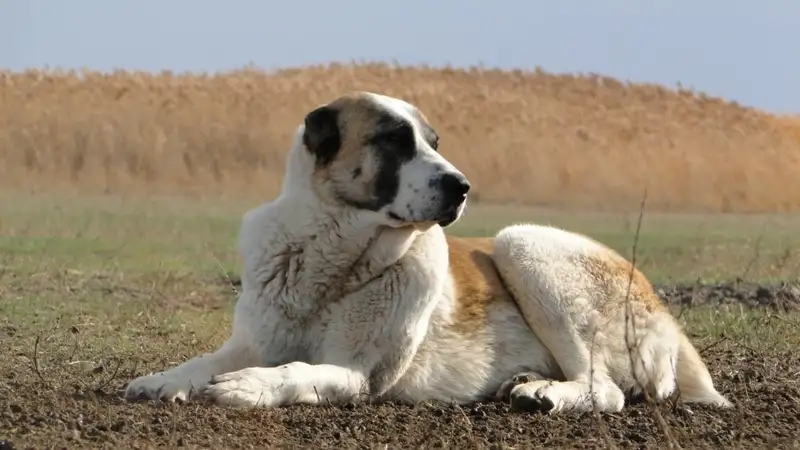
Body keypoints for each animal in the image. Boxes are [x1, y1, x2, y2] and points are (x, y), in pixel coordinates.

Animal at [125, 91, 732, 414]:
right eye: (395, 140)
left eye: (434, 143)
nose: (462, 186)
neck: (328, 260)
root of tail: (668, 317)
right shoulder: (251, 340)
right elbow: (204, 360)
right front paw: (163, 380)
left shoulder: (357, 375)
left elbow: (295, 370)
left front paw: (250, 385)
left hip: (525, 243)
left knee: (605, 390)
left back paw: (540, 392)